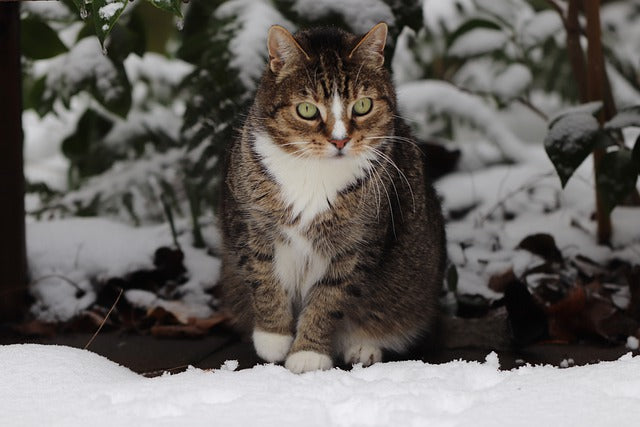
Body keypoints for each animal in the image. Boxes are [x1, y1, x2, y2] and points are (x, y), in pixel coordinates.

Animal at [220, 21, 444, 372]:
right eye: (307, 110)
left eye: (363, 106)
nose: (340, 141)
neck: (314, 173)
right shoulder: (249, 225)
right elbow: (263, 277)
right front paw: (273, 338)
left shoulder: (357, 245)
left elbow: (328, 300)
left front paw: (308, 354)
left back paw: (364, 348)